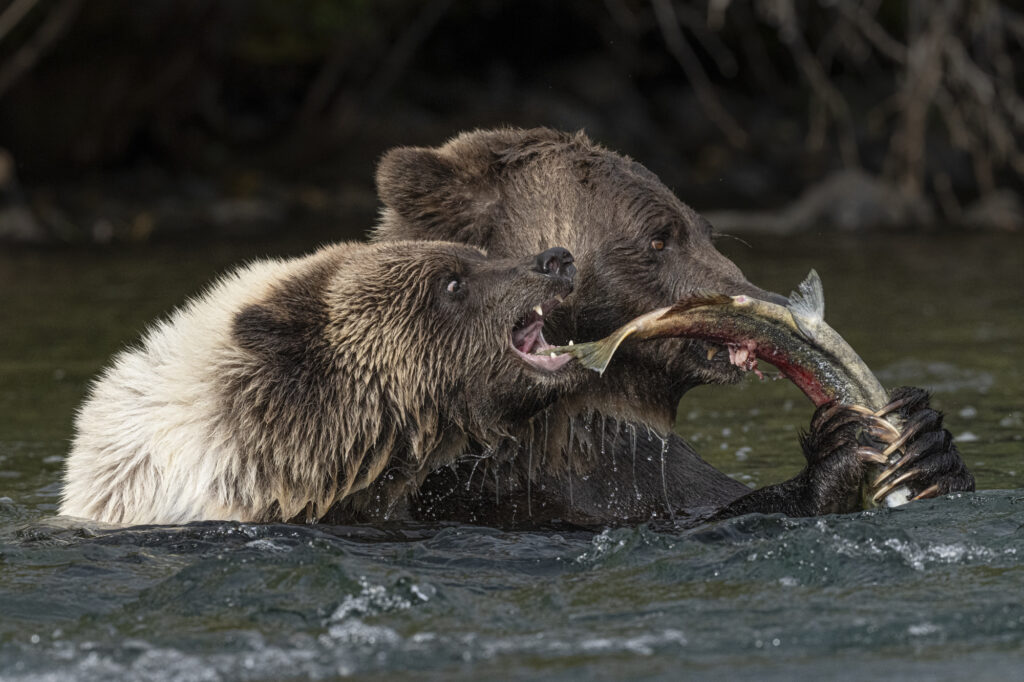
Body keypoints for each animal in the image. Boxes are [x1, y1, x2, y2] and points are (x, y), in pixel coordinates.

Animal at [371, 127, 974, 526]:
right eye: (659, 238)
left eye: (703, 228)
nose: (765, 301)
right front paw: (838, 444)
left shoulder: (657, 478)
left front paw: (927, 440)